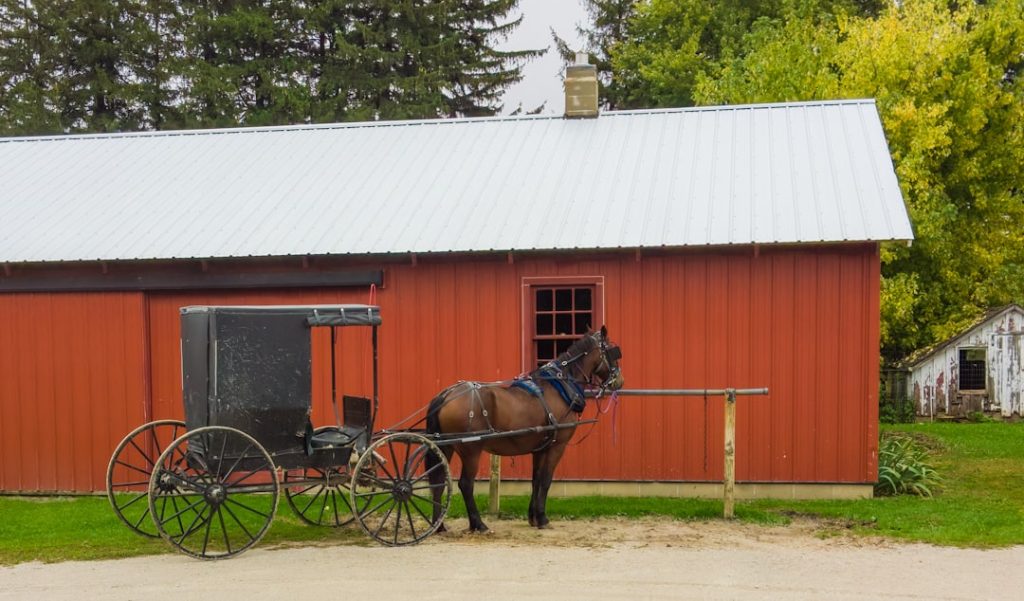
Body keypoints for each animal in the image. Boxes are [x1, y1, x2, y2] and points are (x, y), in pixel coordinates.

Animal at [423, 329, 622, 532]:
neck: (559, 388)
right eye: (613, 352)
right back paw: (478, 523)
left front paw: (533, 517)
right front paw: (542, 518)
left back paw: (438, 525)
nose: (619, 382)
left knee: (439, 482)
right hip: (471, 450)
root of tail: (446, 395)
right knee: (465, 484)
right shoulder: (557, 446)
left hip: (446, 446)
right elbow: (546, 479)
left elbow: (536, 480)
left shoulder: (540, 447)